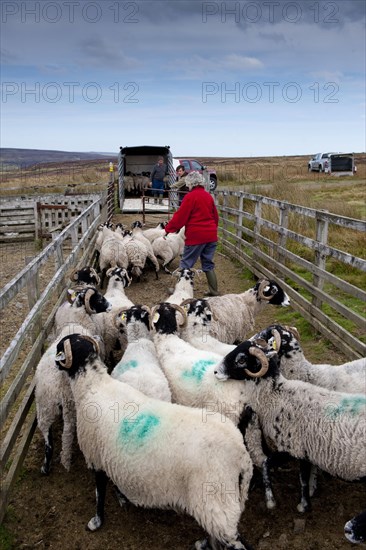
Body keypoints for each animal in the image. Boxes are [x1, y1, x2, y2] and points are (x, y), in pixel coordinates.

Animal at [35, 288, 111, 474]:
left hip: (44, 408)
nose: (110, 305)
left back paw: (45, 468)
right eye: (98, 298)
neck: (76, 319)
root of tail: (54, 387)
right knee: (67, 434)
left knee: (48, 441)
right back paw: (66, 460)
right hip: (69, 406)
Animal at [55, 332, 254, 550]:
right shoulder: (108, 456)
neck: (93, 385)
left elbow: (99, 491)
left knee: (236, 540)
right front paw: (121, 497)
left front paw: (97, 521)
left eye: (59, 348)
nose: (54, 363)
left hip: (216, 499)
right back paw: (204, 543)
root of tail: (241, 454)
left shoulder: (95, 456)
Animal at [214, 338, 366, 516]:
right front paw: (306, 500)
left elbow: (270, 466)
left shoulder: (293, 448)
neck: (277, 395)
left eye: (242, 360)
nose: (215, 372)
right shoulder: (306, 452)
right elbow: (304, 477)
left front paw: (276, 502)